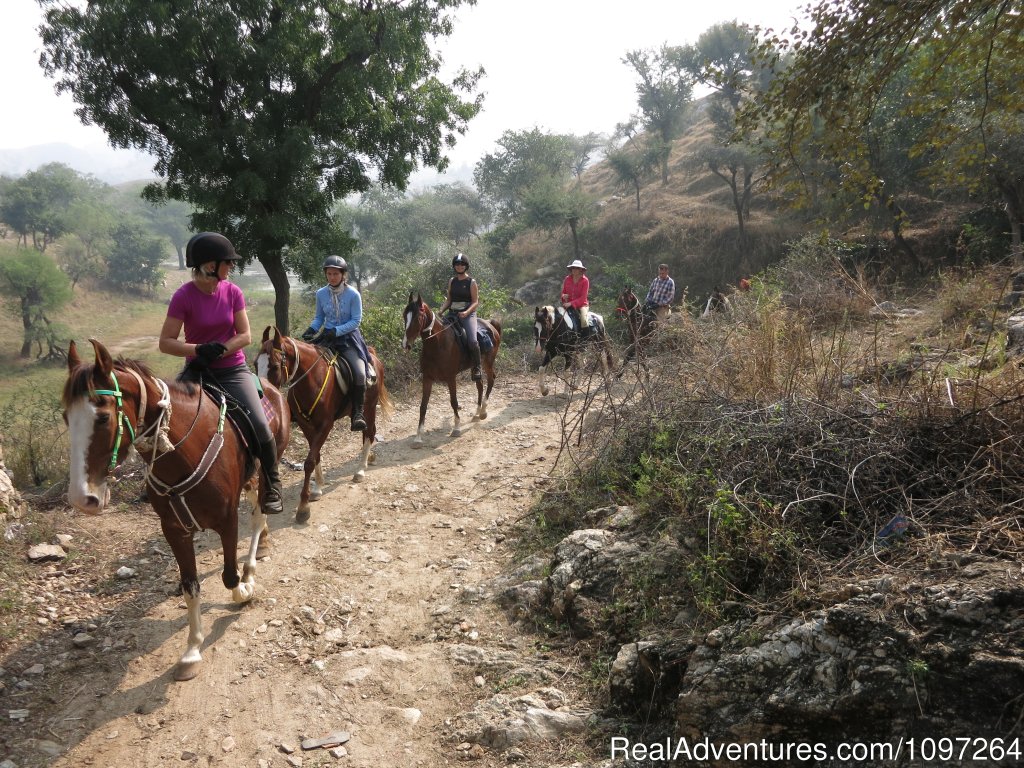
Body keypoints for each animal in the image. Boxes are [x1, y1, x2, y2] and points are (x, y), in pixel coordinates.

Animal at [62, 339, 290, 684]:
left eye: (102, 418)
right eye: (66, 417)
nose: (81, 498)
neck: (182, 450)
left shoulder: (226, 521)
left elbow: (229, 576)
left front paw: (245, 589)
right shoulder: (174, 530)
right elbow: (191, 586)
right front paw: (191, 651)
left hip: (266, 469)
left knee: (259, 513)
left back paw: (252, 564)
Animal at [253, 325, 389, 524]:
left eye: (275, 366)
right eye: (256, 364)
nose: (261, 398)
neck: (311, 379)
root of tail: (372, 355)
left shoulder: (325, 425)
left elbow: (309, 461)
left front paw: (303, 507)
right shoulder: (306, 425)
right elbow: (315, 455)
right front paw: (317, 488)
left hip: (370, 408)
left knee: (369, 433)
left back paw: (360, 470)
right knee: (368, 433)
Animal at [399, 294, 499, 450]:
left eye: (417, 317)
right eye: (405, 315)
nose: (406, 344)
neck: (437, 343)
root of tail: (490, 324)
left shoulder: (451, 378)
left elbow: (453, 402)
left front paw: (456, 428)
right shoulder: (427, 378)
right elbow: (423, 406)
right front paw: (418, 437)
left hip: (487, 361)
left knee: (491, 379)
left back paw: (483, 411)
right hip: (475, 366)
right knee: (480, 384)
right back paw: (477, 413)